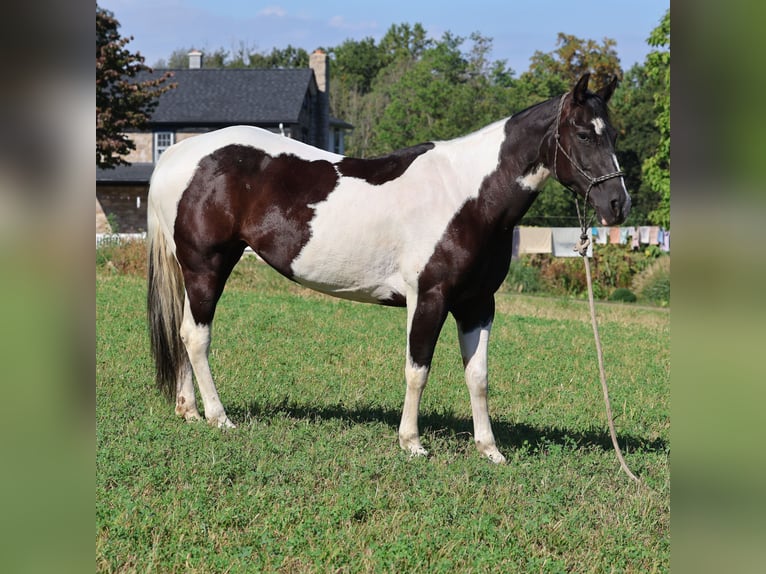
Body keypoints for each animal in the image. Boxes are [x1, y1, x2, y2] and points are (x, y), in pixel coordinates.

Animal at [147, 73, 630, 463]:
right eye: (584, 134)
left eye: (613, 134)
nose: (617, 204)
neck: (469, 197)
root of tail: (180, 154)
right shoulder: (429, 298)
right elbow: (418, 369)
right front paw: (411, 443)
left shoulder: (478, 304)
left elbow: (478, 376)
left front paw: (489, 450)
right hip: (208, 265)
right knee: (196, 336)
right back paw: (219, 417)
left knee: (183, 332)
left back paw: (189, 411)